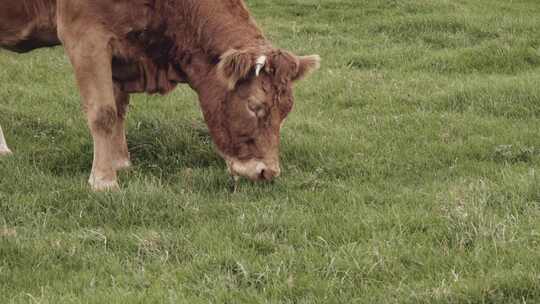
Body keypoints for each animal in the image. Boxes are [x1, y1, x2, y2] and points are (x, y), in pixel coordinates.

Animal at [0, 0, 320, 190]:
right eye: (254, 106)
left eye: (287, 110)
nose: (269, 172)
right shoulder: (85, 37)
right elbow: (103, 113)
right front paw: (104, 180)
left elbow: (119, 109)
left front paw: (120, 163)